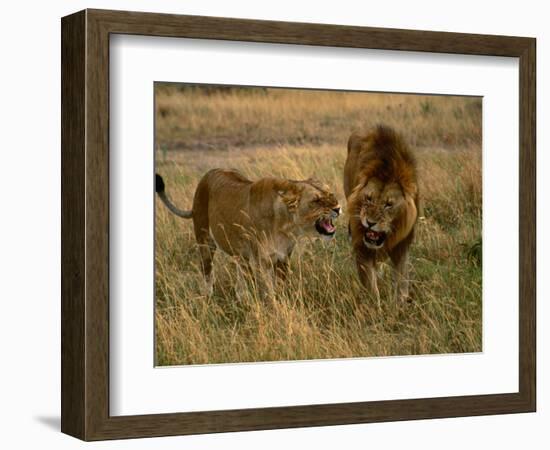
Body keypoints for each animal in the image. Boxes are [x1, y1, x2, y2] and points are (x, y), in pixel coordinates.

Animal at [155, 169, 342, 296]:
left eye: (331, 194)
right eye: (316, 201)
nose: (338, 208)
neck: (286, 226)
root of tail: (208, 174)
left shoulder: (283, 257)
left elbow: (280, 287)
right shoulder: (261, 261)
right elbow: (268, 291)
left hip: (241, 254)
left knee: (241, 275)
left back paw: (242, 298)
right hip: (205, 241)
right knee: (207, 273)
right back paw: (208, 298)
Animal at [348, 125, 420, 304]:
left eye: (389, 204)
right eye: (368, 198)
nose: (369, 222)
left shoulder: (402, 244)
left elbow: (401, 278)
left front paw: (399, 305)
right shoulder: (361, 243)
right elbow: (370, 283)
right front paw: (374, 306)